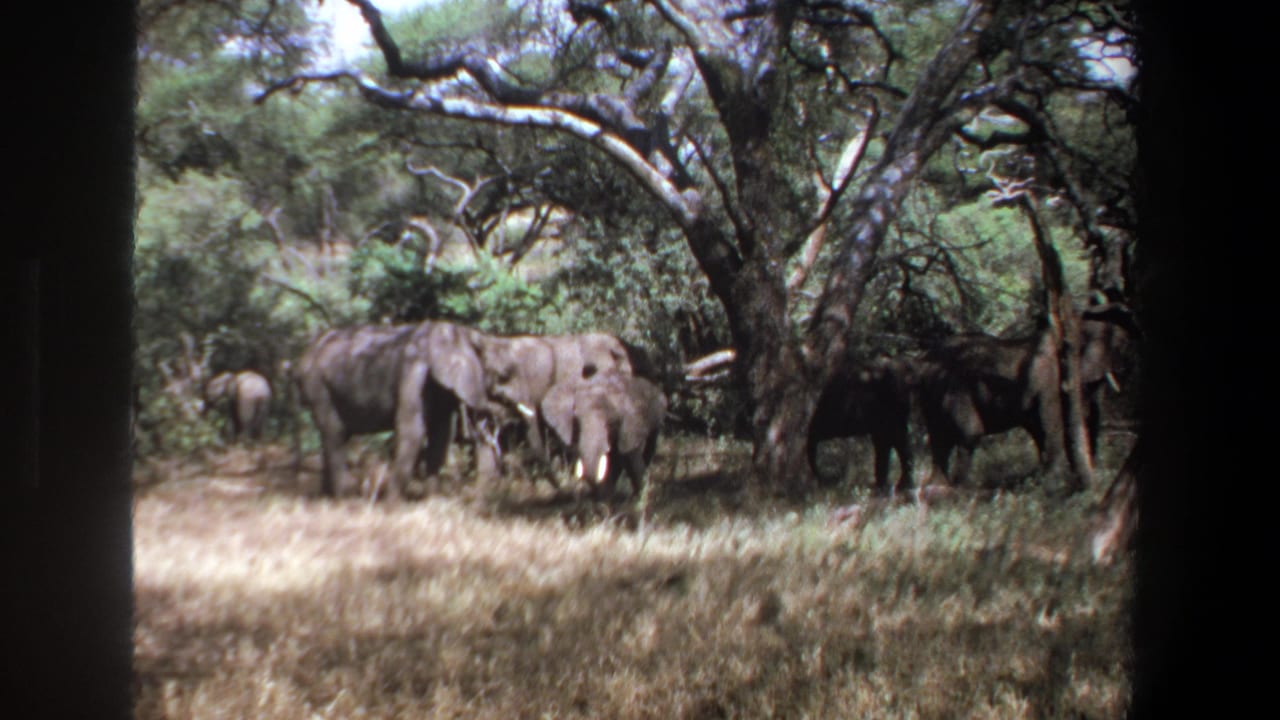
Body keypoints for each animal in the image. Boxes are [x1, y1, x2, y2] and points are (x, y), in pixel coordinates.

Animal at [295, 320, 512, 500]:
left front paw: (432, 502)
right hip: (318, 385)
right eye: (503, 375)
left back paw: (328, 497)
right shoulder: (414, 374)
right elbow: (413, 431)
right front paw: (393, 505)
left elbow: (440, 437)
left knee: (335, 435)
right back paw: (345, 499)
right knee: (335, 433)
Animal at [540, 372, 667, 501]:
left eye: (610, 423)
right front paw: (607, 499)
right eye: (577, 420)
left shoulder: (632, 424)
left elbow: (631, 457)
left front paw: (639, 496)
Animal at [916, 302, 1137, 489]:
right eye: (1119, 347)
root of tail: (925, 360)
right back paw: (959, 490)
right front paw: (1049, 485)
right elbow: (1052, 429)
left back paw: (937, 488)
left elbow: (1039, 430)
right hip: (955, 390)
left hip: (931, 394)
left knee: (938, 440)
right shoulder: (1050, 384)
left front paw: (1040, 480)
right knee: (968, 435)